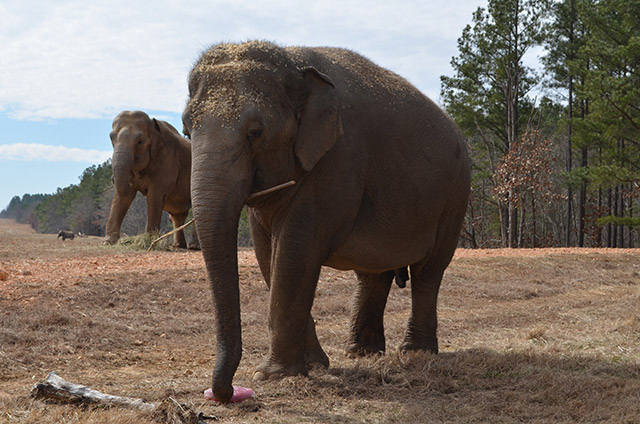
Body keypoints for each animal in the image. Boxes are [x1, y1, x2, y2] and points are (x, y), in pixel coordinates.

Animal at [103, 110, 198, 248]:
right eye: (111, 139)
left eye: (140, 141)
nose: (111, 179)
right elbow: (122, 197)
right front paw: (108, 242)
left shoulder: (167, 160)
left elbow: (155, 196)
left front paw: (148, 242)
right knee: (177, 215)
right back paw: (178, 246)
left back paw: (194, 246)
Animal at [182, 41, 472, 402]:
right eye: (185, 130)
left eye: (256, 133)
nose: (226, 391)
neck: (292, 60)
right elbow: (268, 257)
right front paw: (314, 365)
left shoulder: (338, 160)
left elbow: (294, 255)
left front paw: (273, 375)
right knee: (373, 274)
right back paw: (361, 353)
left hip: (454, 196)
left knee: (428, 272)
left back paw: (416, 353)